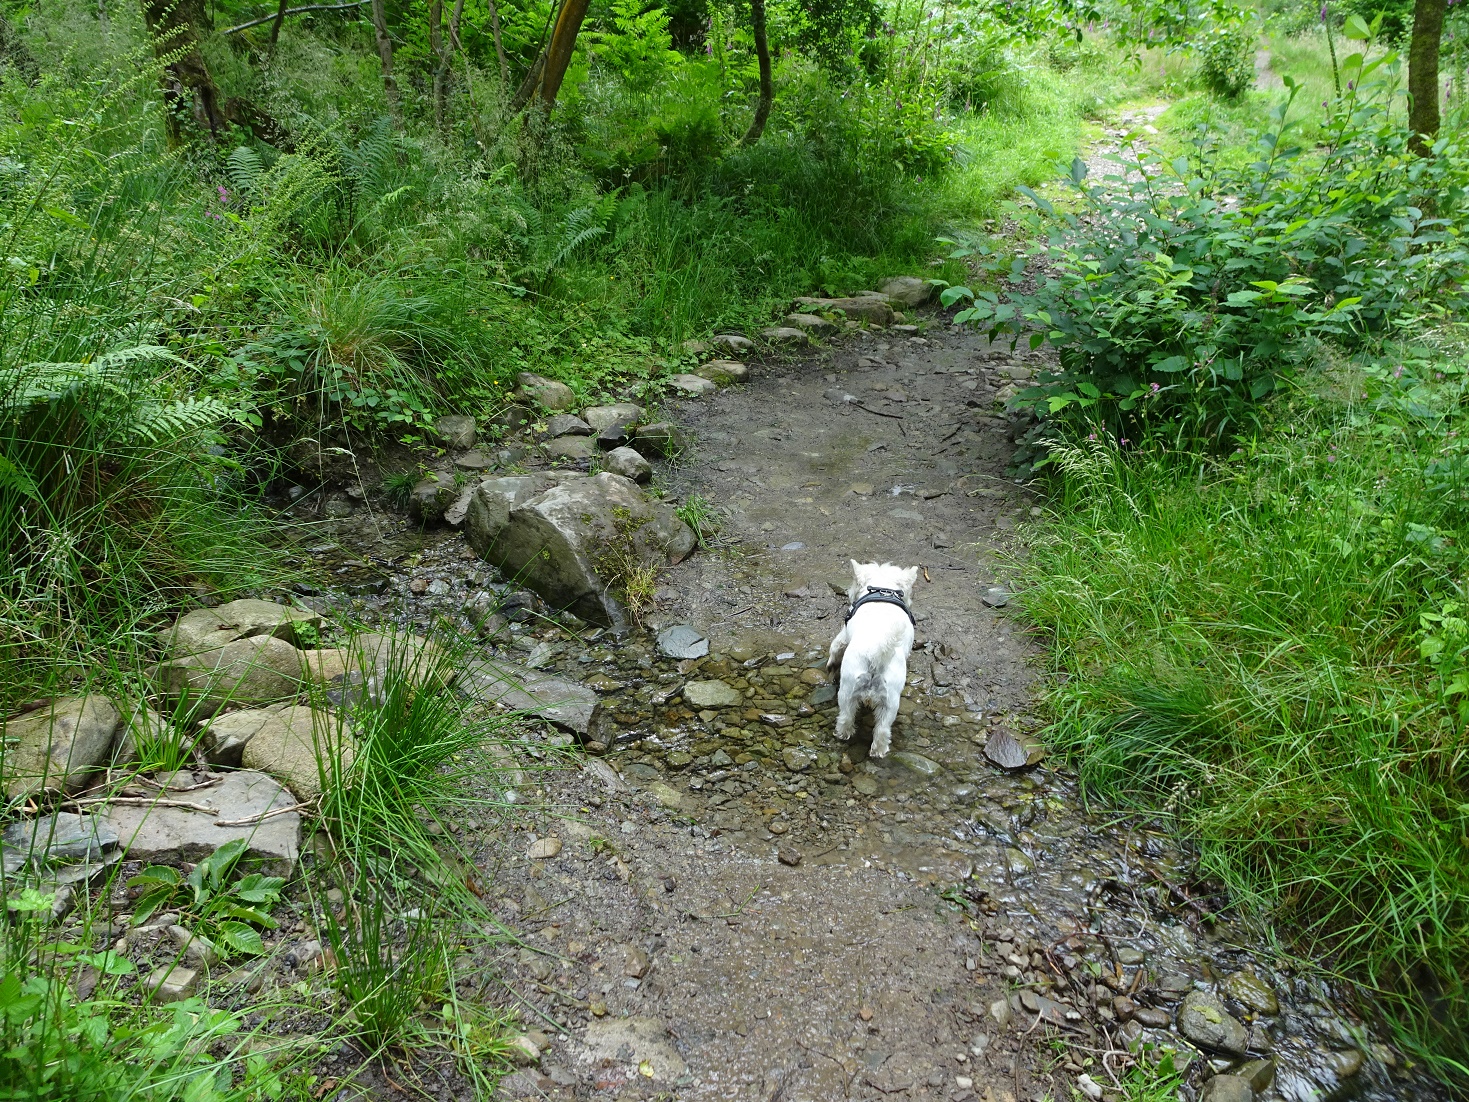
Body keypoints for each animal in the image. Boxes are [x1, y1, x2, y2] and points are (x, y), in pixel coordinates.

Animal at [828, 561, 916, 758]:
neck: (883, 589)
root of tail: (877, 652)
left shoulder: (844, 634)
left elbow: (835, 646)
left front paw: (830, 664)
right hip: (889, 701)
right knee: (881, 730)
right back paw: (877, 751)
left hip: (847, 691)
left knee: (846, 718)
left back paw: (842, 735)